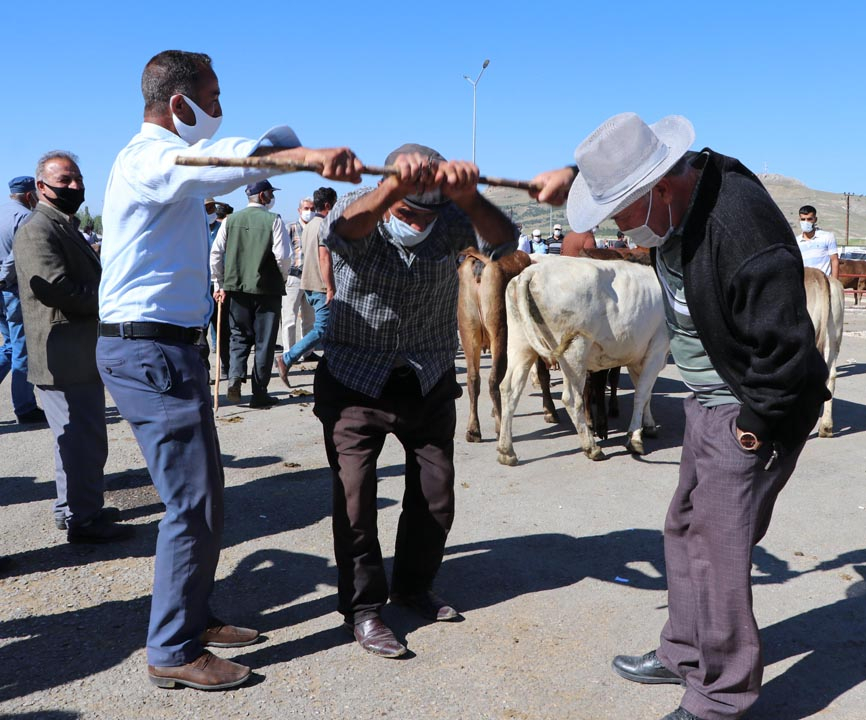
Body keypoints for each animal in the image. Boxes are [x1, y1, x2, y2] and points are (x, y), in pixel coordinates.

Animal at [456, 248, 556, 442]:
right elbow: (543, 374)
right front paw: (550, 411)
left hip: (468, 334)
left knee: (473, 379)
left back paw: (473, 430)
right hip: (500, 334)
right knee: (494, 380)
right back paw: (499, 426)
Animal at [492, 256, 668, 464]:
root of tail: (532, 271)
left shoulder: (638, 356)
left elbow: (646, 393)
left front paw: (648, 425)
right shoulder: (658, 349)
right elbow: (641, 394)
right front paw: (635, 438)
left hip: (520, 344)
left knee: (509, 388)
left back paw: (506, 450)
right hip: (575, 352)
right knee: (571, 398)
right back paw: (591, 447)